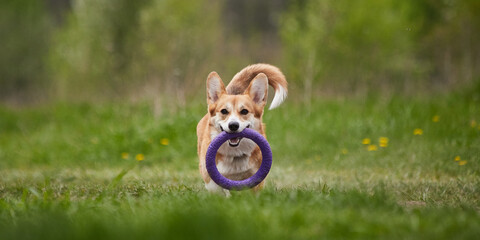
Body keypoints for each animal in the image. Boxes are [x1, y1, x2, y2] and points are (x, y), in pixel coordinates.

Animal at [196, 63, 286, 195]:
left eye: (244, 111)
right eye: (224, 111)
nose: (233, 125)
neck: (235, 154)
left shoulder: (256, 177)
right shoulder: (213, 179)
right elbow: (221, 189)